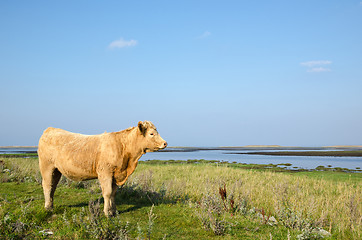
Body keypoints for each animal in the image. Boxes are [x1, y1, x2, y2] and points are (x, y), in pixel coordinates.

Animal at [37, 121, 168, 217]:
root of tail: (50, 129)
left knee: (53, 186)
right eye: (151, 133)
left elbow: (113, 193)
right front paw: (107, 213)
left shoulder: (116, 174)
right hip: (46, 166)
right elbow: (107, 192)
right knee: (47, 185)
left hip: (56, 170)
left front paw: (113, 211)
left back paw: (51, 205)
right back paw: (48, 208)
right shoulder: (105, 172)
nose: (165, 143)